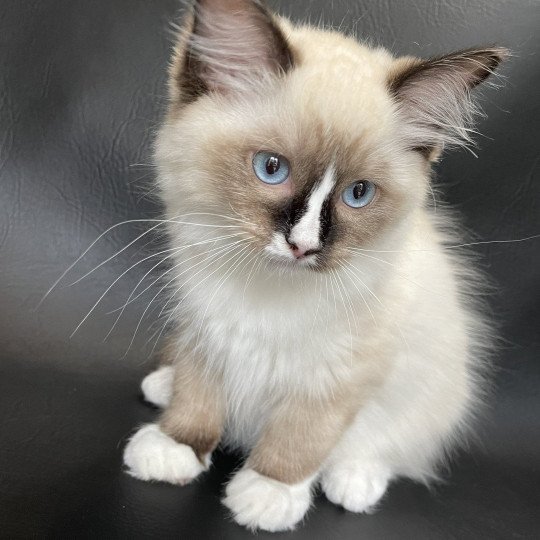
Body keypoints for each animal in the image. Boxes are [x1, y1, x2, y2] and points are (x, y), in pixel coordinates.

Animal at [121, 0, 506, 532]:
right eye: (271, 169)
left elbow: (301, 438)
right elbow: (198, 396)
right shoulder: (207, 330)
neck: (266, 294)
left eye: (357, 194)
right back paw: (161, 386)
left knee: (389, 448)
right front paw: (175, 445)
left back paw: (355, 484)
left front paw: (269, 493)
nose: (302, 246)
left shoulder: (339, 374)